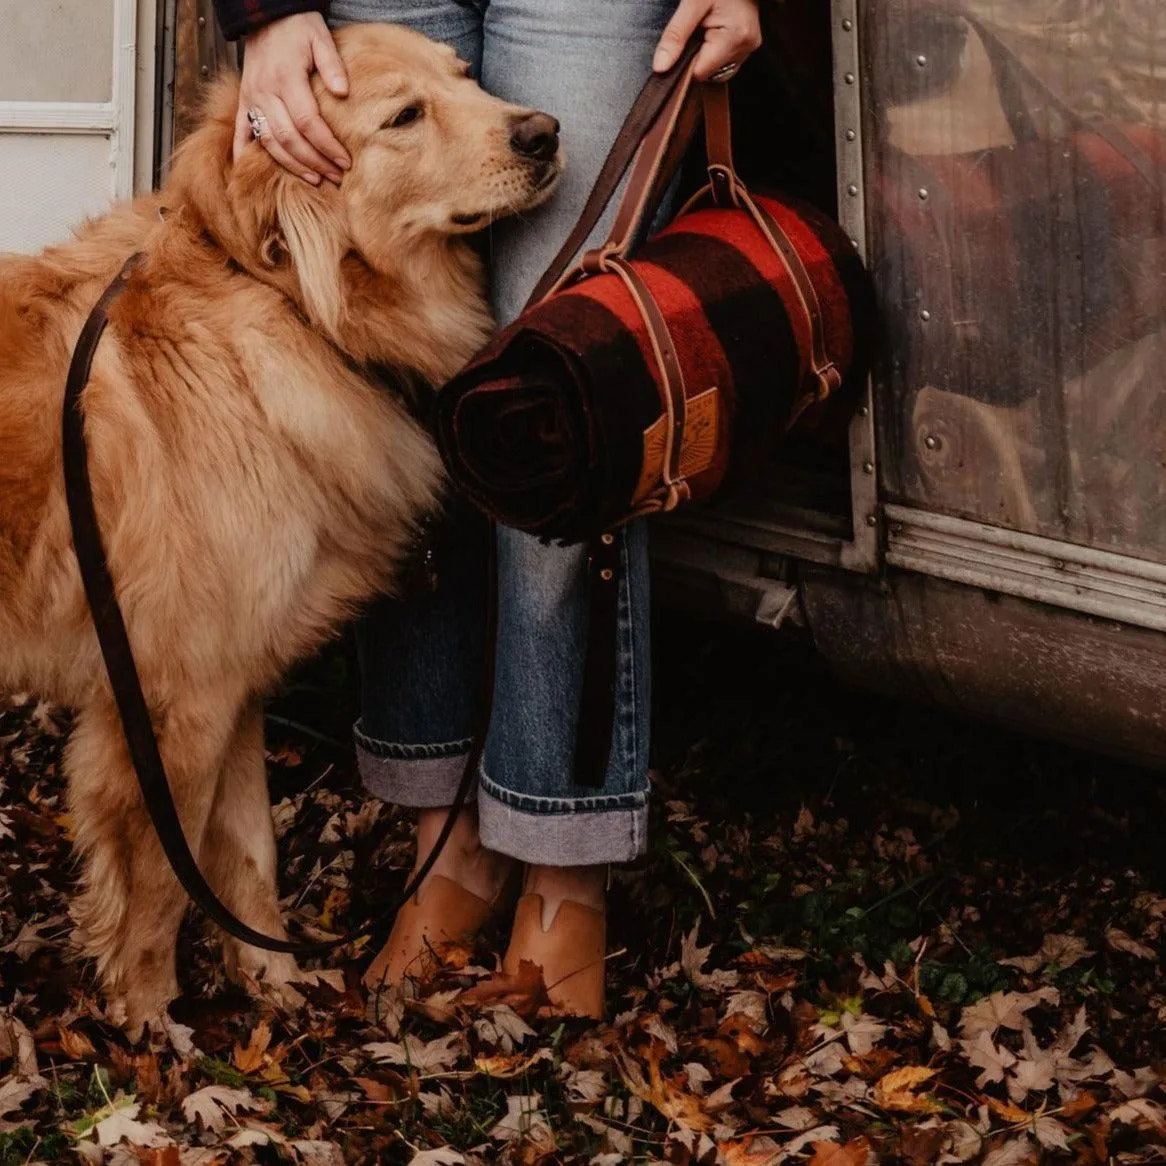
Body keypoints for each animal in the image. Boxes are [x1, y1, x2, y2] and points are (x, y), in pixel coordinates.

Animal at [0, 22, 559, 1030]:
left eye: (469, 77)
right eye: (404, 116)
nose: (544, 133)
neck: (287, 302)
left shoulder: (237, 679)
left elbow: (247, 853)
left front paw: (273, 983)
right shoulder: (174, 701)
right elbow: (160, 883)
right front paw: (150, 1021)